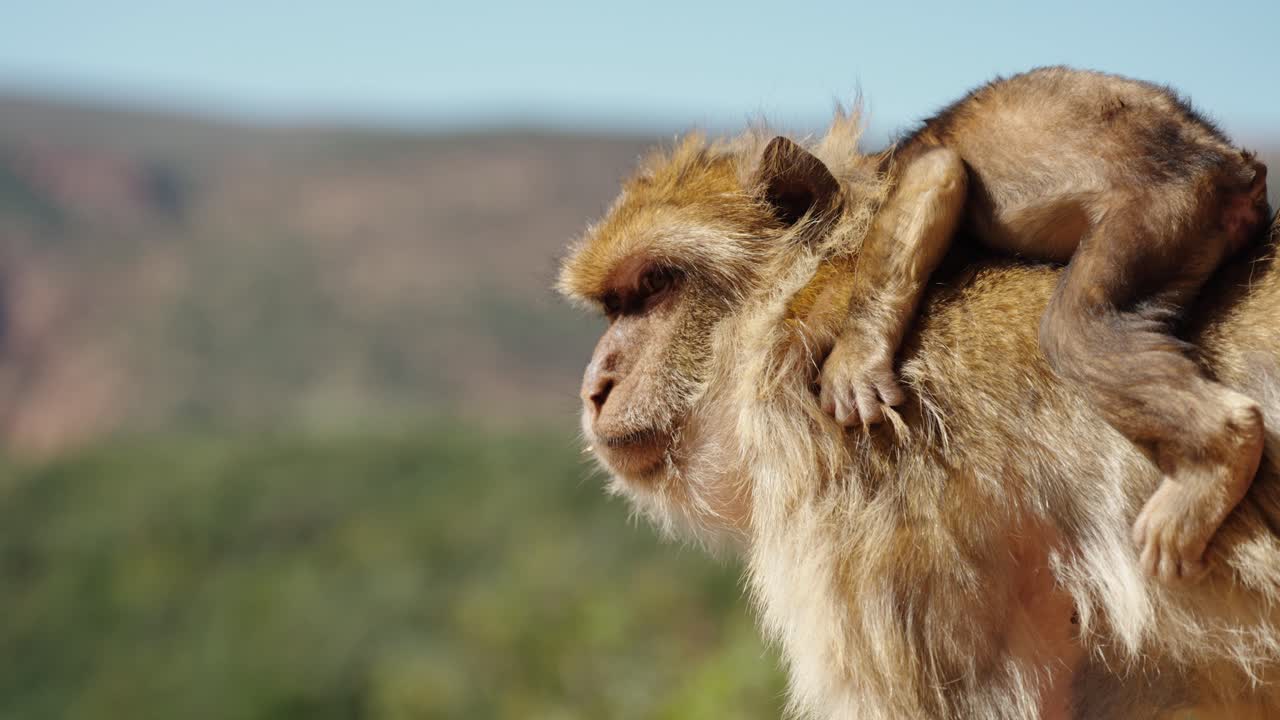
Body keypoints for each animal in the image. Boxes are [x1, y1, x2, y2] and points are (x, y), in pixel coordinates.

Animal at [813, 67, 1271, 584]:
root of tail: (1237, 167)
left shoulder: (894, 175)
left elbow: (935, 172)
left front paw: (853, 356)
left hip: (1168, 209)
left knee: (1075, 329)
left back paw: (1219, 455)